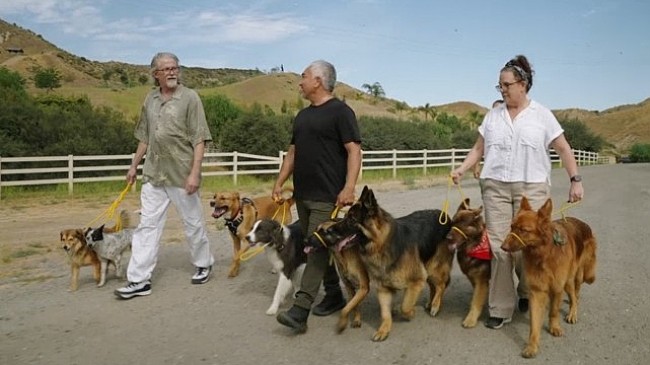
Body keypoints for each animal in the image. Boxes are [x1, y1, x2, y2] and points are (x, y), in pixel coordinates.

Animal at [334, 185, 450, 342]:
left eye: (351, 219)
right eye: (345, 217)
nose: (330, 229)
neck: (381, 244)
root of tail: (445, 216)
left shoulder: (416, 281)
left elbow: (405, 306)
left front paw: (411, 313)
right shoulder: (383, 289)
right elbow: (385, 313)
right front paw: (383, 330)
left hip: (433, 268)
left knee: (441, 285)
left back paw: (436, 305)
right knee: (434, 286)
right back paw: (430, 302)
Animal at [442, 198, 488, 328]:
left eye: (462, 225)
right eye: (452, 223)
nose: (447, 238)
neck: (475, 246)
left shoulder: (481, 280)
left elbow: (476, 301)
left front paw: (471, 319)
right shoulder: (473, 278)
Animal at [498, 196, 596, 358]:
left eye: (523, 230)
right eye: (511, 227)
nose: (503, 247)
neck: (543, 254)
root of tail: (583, 224)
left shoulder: (557, 287)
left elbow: (554, 311)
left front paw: (554, 327)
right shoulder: (537, 292)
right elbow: (534, 324)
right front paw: (532, 345)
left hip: (569, 280)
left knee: (574, 296)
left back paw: (572, 313)